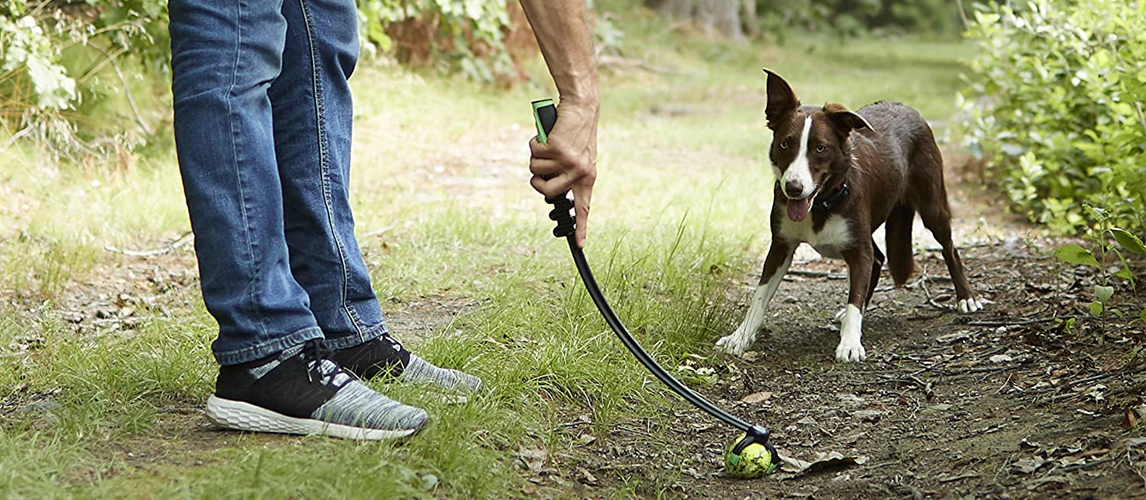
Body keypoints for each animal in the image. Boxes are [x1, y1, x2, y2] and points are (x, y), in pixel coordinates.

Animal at [715, 69, 976, 362]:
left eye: (820, 148)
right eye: (784, 144)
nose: (793, 188)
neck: (821, 204)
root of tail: (906, 107)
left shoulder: (858, 248)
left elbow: (855, 299)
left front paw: (850, 343)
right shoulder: (781, 246)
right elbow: (759, 296)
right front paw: (740, 337)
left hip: (931, 205)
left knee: (949, 248)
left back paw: (966, 298)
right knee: (879, 258)